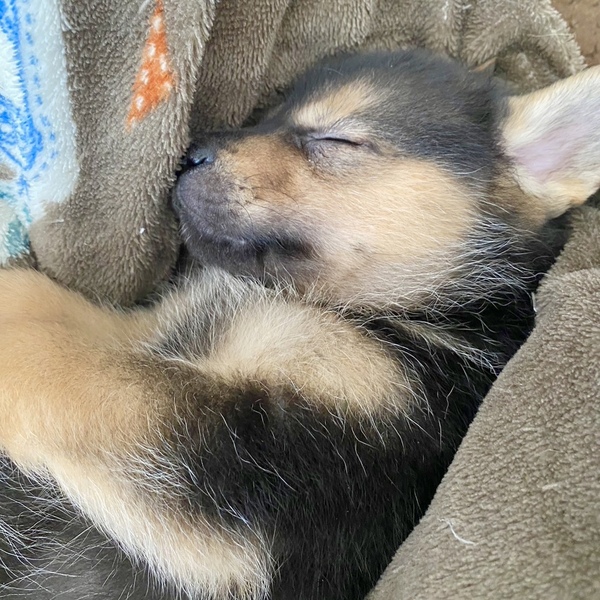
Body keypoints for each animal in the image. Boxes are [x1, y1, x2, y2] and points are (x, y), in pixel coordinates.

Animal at [0, 49, 599, 600]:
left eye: (337, 140)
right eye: (264, 117)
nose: (189, 153)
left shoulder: (251, 484)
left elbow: (69, 369)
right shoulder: (157, 330)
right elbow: (61, 313)